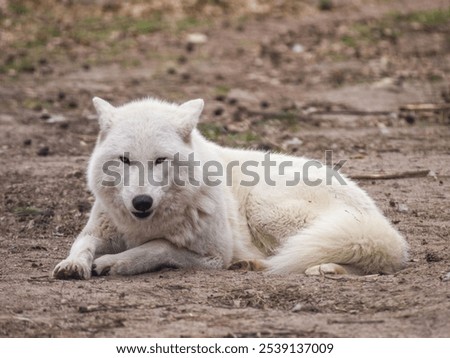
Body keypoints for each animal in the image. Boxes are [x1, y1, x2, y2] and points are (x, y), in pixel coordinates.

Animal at [52, 97, 408, 280]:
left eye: (160, 160)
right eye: (125, 160)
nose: (141, 202)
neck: (145, 224)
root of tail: (376, 215)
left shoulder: (214, 256)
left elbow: (157, 247)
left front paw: (117, 262)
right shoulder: (98, 231)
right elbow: (81, 244)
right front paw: (74, 265)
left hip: (265, 207)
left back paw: (323, 268)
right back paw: (260, 265)